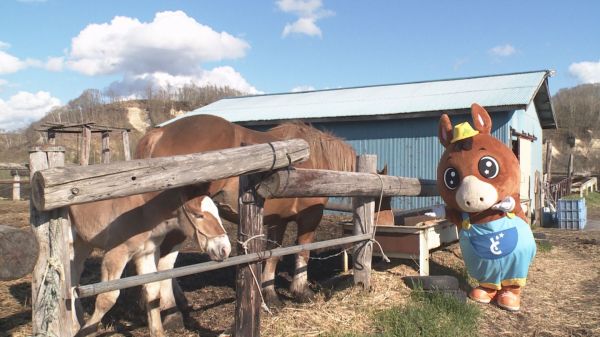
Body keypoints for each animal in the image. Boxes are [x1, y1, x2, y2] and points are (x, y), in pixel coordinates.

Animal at [69, 186, 231, 336]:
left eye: (217, 212)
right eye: (198, 215)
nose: (225, 249)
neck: (142, 212)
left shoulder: (146, 254)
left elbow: (153, 292)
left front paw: (157, 332)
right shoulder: (115, 254)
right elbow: (108, 297)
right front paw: (87, 331)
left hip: (83, 243)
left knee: (74, 274)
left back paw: (77, 323)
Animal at [135, 113, 356, 312]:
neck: (319, 162)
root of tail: (160, 133)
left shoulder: (279, 220)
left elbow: (273, 254)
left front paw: (270, 295)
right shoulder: (311, 217)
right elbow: (303, 251)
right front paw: (302, 291)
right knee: (164, 262)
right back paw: (172, 311)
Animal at [436, 103, 536, 310]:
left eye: (488, 166)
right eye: (451, 177)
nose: (472, 199)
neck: (485, 214)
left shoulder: (516, 205)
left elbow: (514, 204)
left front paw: (505, 204)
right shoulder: (460, 216)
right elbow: (452, 214)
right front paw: (436, 210)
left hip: (518, 261)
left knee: (513, 280)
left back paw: (509, 299)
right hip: (482, 264)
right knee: (489, 278)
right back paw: (483, 293)